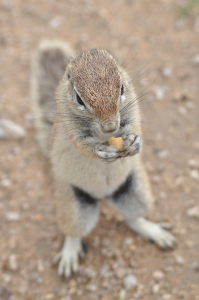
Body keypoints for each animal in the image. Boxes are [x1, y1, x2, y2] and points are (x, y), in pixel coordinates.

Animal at [30, 39, 174, 278]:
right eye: (79, 99)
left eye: (121, 88)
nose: (111, 127)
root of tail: (104, 196)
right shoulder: (70, 126)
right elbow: (82, 145)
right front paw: (101, 151)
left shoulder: (132, 105)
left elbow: (135, 125)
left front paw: (135, 142)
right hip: (73, 207)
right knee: (74, 233)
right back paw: (69, 254)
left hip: (137, 193)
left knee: (133, 219)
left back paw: (154, 231)